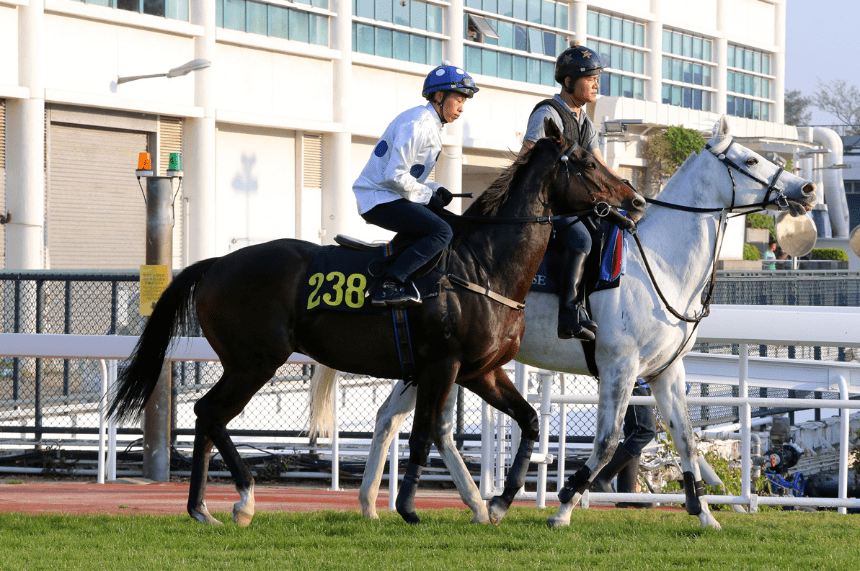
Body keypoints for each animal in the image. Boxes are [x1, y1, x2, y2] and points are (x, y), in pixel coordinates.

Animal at [107, 118, 645, 527]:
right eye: (588, 162)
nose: (636, 201)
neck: (484, 265)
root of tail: (217, 263)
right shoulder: (442, 365)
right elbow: (424, 432)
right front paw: (408, 507)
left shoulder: (481, 371)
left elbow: (528, 420)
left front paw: (499, 500)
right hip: (255, 361)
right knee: (212, 413)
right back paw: (243, 499)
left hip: (246, 362)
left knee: (205, 415)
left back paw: (202, 508)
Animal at [309, 115, 818, 529]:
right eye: (751, 158)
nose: (806, 190)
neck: (657, 265)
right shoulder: (620, 370)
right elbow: (608, 441)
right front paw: (565, 505)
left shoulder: (665, 371)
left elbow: (687, 440)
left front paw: (704, 513)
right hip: (444, 365)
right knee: (427, 426)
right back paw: (475, 502)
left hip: (430, 365)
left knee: (390, 418)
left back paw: (379, 504)